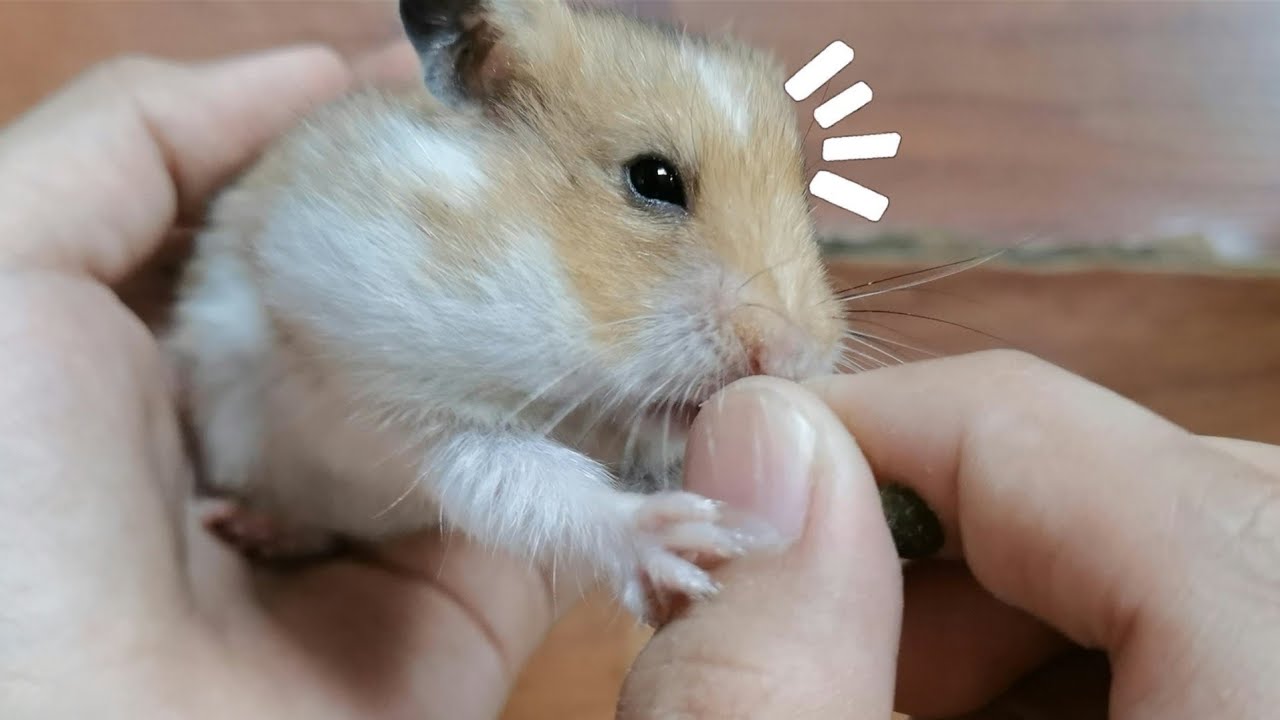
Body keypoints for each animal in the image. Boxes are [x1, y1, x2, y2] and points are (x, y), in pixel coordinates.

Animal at [167, 0, 845, 621]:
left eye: (807, 199)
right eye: (653, 179)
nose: (789, 358)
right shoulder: (407, 395)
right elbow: (532, 486)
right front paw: (682, 540)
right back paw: (237, 523)